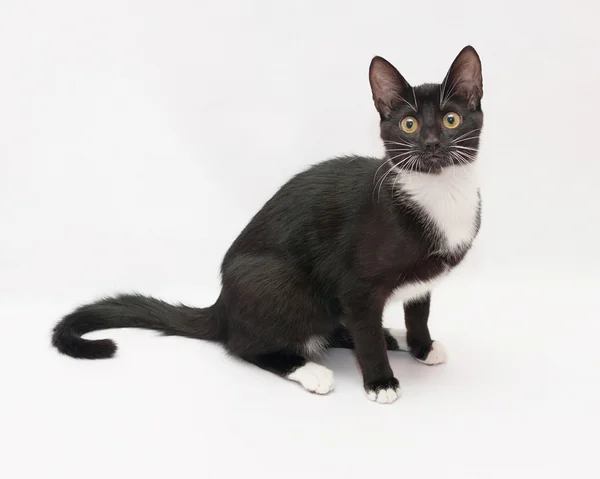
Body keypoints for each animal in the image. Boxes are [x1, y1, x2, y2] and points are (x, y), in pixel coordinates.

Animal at [51, 45, 482, 404]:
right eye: (409, 124)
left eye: (451, 119)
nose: (431, 144)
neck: (439, 194)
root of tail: (223, 305)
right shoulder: (356, 285)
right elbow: (365, 332)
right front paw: (380, 382)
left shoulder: (421, 279)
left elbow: (418, 310)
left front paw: (421, 345)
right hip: (283, 283)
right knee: (244, 345)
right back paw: (312, 370)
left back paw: (387, 335)